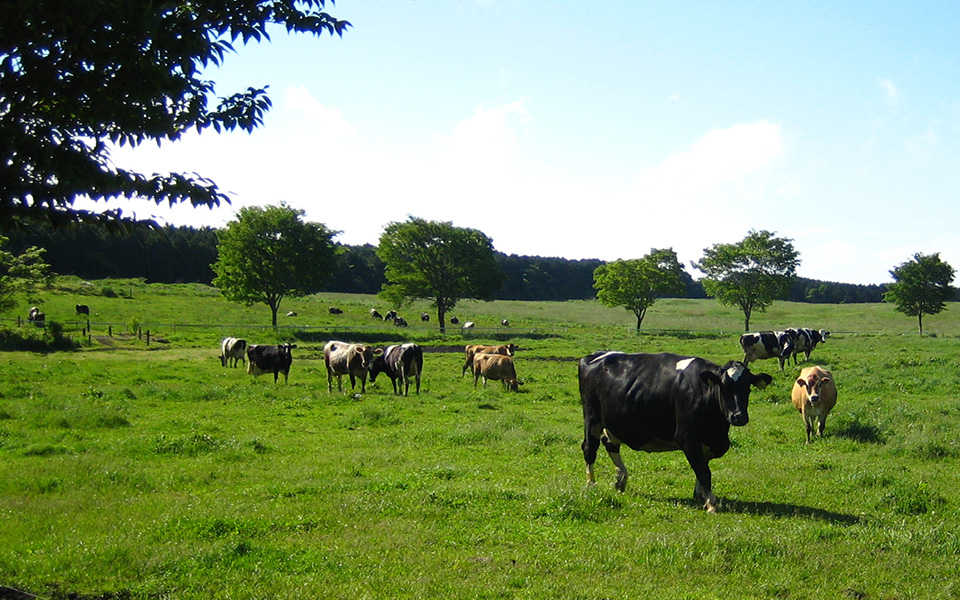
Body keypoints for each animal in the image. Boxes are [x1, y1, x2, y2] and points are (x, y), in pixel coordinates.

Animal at [576, 352, 772, 510]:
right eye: (723, 387)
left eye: (747, 387)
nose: (738, 416)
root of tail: (594, 355)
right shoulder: (688, 438)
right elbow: (704, 471)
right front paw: (711, 502)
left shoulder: (712, 442)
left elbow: (702, 467)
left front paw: (700, 495)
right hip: (592, 416)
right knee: (589, 448)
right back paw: (591, 485)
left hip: (612, 421)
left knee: (610, 443)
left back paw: (620, 479)